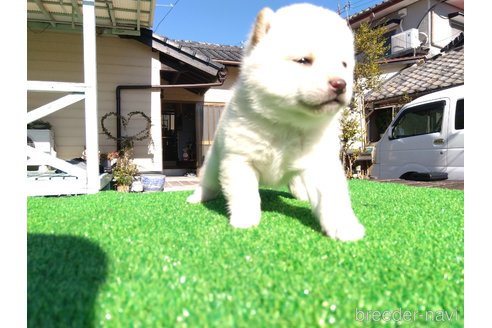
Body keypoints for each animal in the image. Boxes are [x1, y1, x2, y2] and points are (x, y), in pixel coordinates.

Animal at [188, 3, 366, 242]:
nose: (341, 84)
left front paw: (343, 225)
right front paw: (245, 218)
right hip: (214, 162)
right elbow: (245, 193)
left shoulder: (319, 162)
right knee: (208, 183)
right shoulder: (239, 159)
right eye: (303, 61)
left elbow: (332, 197)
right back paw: (198, 196)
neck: (287, 123)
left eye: (344, 64)